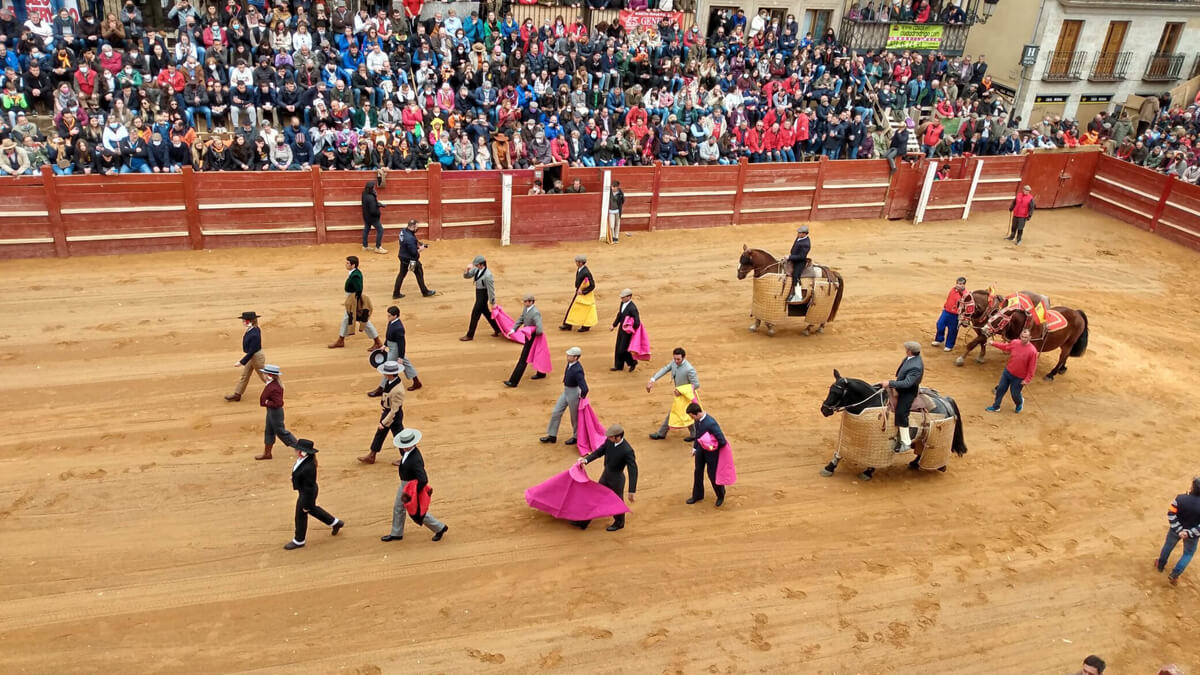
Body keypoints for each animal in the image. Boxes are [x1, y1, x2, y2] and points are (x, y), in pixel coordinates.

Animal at [820, 367, 969, 478]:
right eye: (830, 389)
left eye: (836, 392)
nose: (824, 409)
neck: (871, 402)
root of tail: (945, 400)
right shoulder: (848, 436)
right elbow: (839, 452)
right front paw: (829, 467)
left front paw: (868, 472)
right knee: (922, 450)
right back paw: (915, 463)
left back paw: (939, 466)